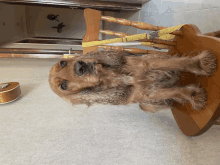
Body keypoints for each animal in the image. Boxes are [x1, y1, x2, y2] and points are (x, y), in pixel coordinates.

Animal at [48, 49, 217, 113]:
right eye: (63, 86)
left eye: (63, 62)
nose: (80, 67)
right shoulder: (147, 94)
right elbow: (176, 91)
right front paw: (194, 95)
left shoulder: (148, 63)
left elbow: (180, 63)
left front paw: (201, 64)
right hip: (145, 106)